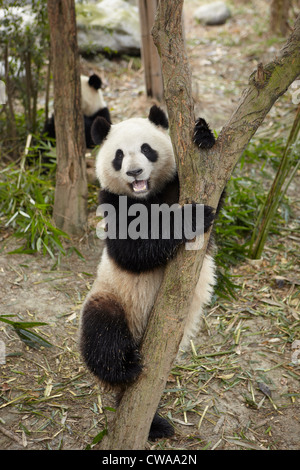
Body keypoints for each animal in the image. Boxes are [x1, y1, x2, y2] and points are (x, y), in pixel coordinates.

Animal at [79, 106, 219, 440]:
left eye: (146, 149)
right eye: (118, 156)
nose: (134, 173)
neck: (146, 197)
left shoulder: (178, 184)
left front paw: (204, 135)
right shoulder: (111, 203)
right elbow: (131, 252)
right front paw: (191, 218)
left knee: (150, 389)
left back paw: (155, 423)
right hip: (110, 296)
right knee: (102, 334)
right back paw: (124, 369)